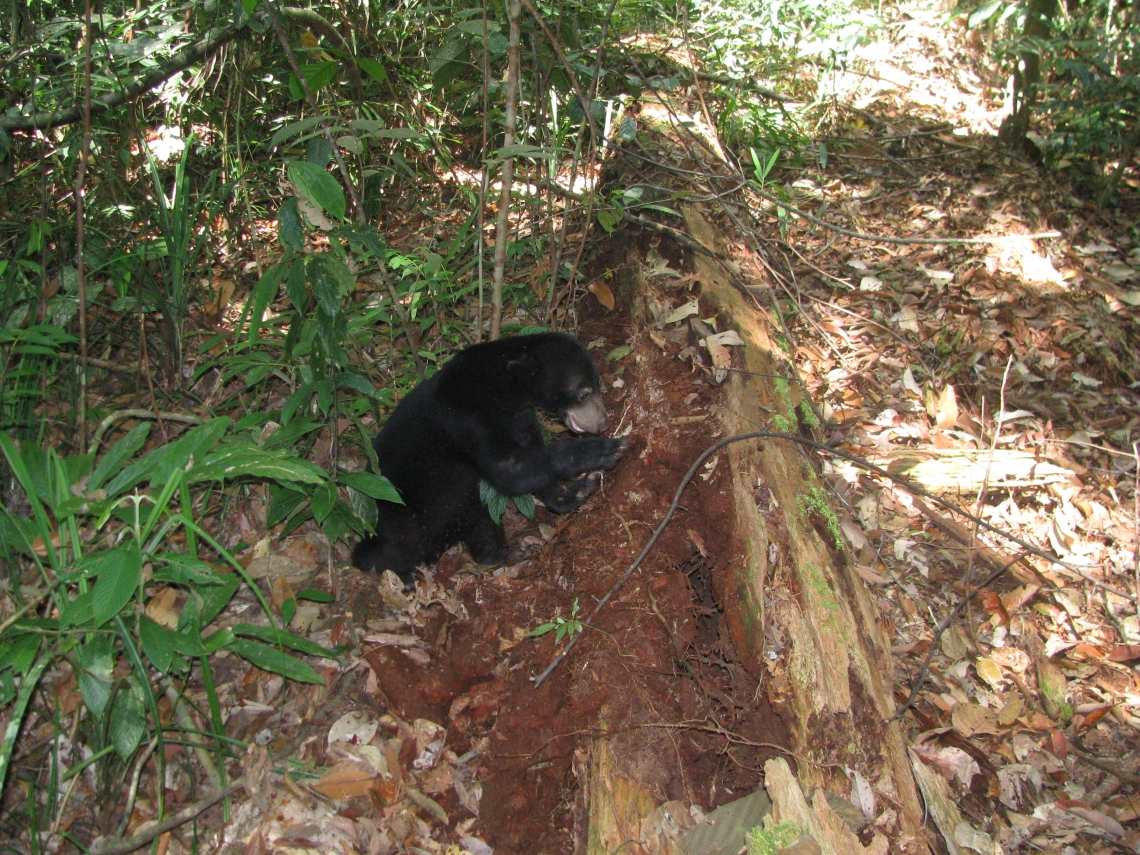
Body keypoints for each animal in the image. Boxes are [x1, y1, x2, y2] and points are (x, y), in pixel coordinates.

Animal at [351, 330, 629, 588]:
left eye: (597, 385)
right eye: (583, 393)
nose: (603, 423)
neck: (498, 389)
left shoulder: (518, 419)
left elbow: (532, 464)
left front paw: (575, 492)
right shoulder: (468, 420)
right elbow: (511, 470)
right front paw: (604, 450)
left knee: (479, 519)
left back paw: (507, 552)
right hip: (398, 513)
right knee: (390, 549)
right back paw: (401, 576)